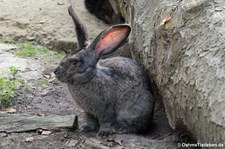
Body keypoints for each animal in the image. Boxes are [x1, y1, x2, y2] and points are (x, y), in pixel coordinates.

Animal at [54, 5, 155, 139]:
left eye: (75, 62)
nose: (56, 72)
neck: (90, 78)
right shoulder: (89, 112)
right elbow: (90, 120)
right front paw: (85, 128)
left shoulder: (106, 109)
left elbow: (105, 121)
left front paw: (103, 133)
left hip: (140, 107)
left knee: (139, 127)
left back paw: (121, 127)